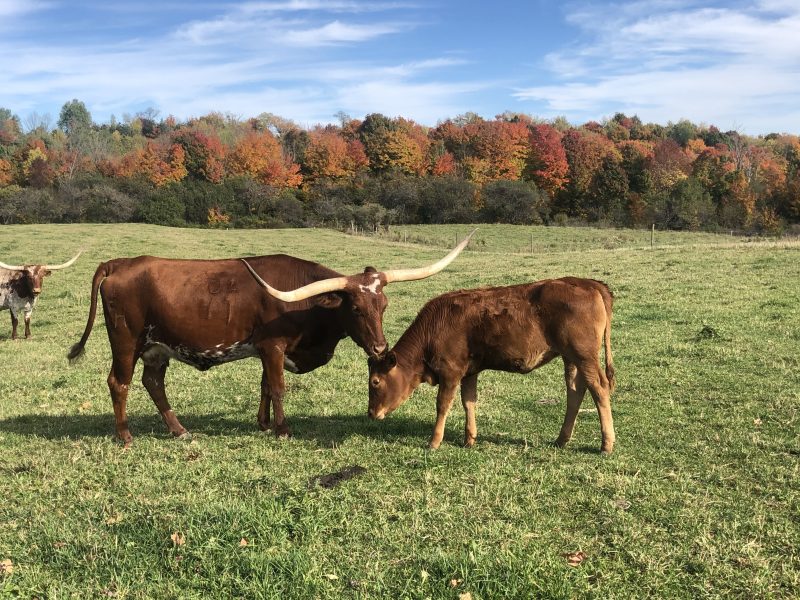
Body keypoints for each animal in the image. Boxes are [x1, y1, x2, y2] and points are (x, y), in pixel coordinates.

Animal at [70, 234, 476, 446]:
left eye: (384, 305)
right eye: (356, 308)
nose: (380, 348)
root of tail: (120, 263)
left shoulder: (266, 350)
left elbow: (265, 384)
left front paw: (263, 424)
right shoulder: (274, 346)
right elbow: (278, 386)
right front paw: (282, 429)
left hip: (157, 348)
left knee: (153, 383)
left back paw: (179, 430)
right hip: (127, 341)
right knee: (119, 382)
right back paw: (125, 436)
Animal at [368, 278, 620, 452]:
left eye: (375, 381)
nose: (371, 413)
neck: (434, 328)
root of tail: (589, 283)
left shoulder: (450, 372)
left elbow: (442, 405)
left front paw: (434, 441)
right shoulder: (469, 372)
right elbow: (469, 402)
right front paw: (469, 438)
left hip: (584, 356)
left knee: (598, 388)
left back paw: (606, 444)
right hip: (571, 358)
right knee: (575, 391)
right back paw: (561, 439)